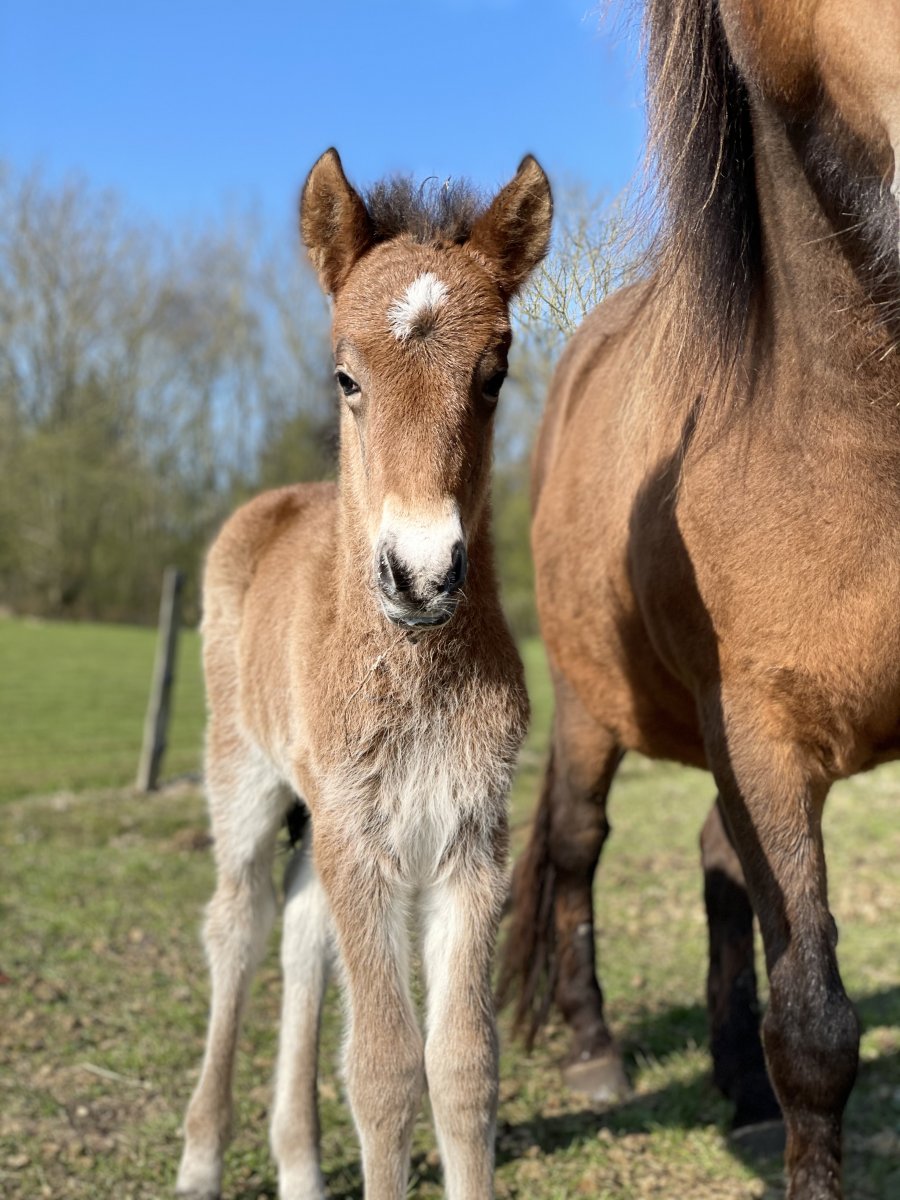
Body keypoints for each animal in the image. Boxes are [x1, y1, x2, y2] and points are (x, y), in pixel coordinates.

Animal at [175, 150, 552, 1200]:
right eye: (345, 375)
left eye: (495, 374)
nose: (421, 573)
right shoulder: (362, 833)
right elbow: (383, 1069)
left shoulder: (471, 837)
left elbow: (463, 1065)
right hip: (246, 775)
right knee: (239, 924)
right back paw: (201, 1157)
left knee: (303, 935)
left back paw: (300, 1167)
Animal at [500, 2, 900, 1196]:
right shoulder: (760, 730)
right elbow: (813, 1030)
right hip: (595, 712)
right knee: (579, 846)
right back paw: (595, 1051)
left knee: (720, 868)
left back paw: (736, 1082)